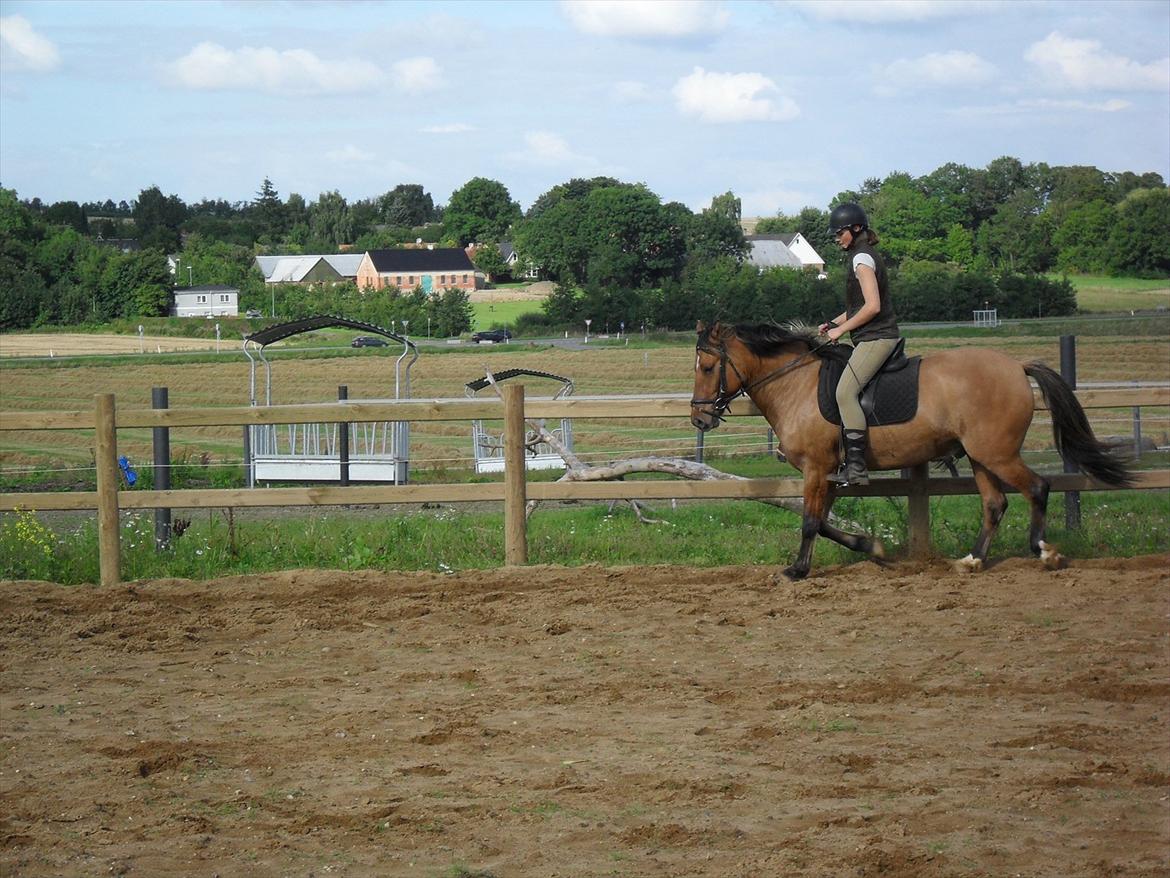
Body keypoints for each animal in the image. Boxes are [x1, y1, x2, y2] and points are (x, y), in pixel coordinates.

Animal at [687, 320, 1127, 580]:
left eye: (707, 368)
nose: (699, 420)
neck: (796, 384)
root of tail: (1016, 367)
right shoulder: (827, 471)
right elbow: (825, 523)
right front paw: (874, 549)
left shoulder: (815, 467)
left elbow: (811, 522)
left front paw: (797, 570)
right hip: (980, 455)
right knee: (995, 503)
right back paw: (973, 560)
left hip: (997, 452)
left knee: (1037, 488)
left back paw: (1044, 552)